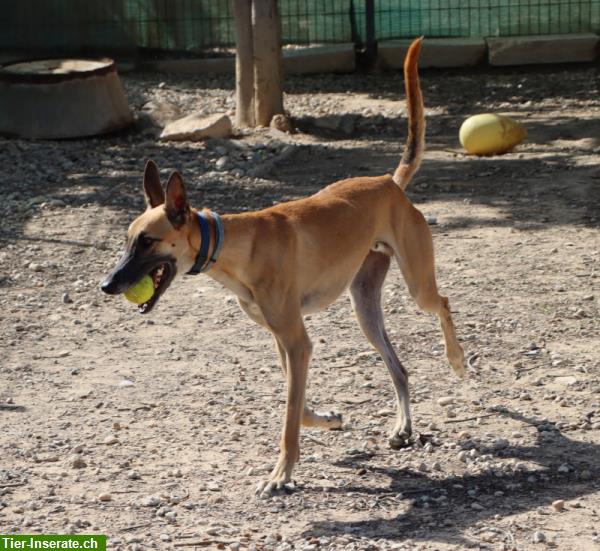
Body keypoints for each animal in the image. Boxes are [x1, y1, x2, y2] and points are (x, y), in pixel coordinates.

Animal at [102, 38, 464, 496]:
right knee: (400, 368)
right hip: (364, 309)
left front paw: (281, 474)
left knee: (443, 302)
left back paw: (457, 360)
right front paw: (327, 418)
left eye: (147, 242)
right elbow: (297, 404)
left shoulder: (297, 340)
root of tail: (388, 182)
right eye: (126, 241)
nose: (107, 284)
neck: (237, 243)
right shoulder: (283, 339)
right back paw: (403, 427)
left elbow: (289, 418)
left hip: (417, 285)